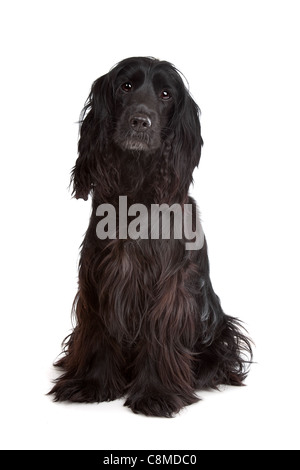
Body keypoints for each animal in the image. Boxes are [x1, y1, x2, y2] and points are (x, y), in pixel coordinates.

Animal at [50, 57, 252, 416]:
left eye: (166, 94)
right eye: (126, 86)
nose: (140, 122)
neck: (135, 192)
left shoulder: (170, 288)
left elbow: (160, 332)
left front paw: (156, 393)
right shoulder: (96, 277)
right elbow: (99, 330)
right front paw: (92, 383)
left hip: (217, 330)